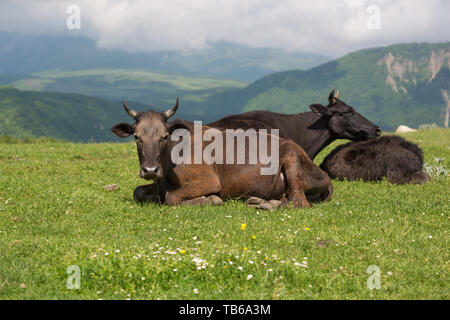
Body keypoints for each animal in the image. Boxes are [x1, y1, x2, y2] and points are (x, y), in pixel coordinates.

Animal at [110, 100, 332, 210]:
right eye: (137, 137)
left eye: (164, 136)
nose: (150, 170)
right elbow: (138, 191)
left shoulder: (208, 180)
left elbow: (171, 197)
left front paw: (210, 200)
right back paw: (260, 202)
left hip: (291, 157)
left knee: (299, 203)